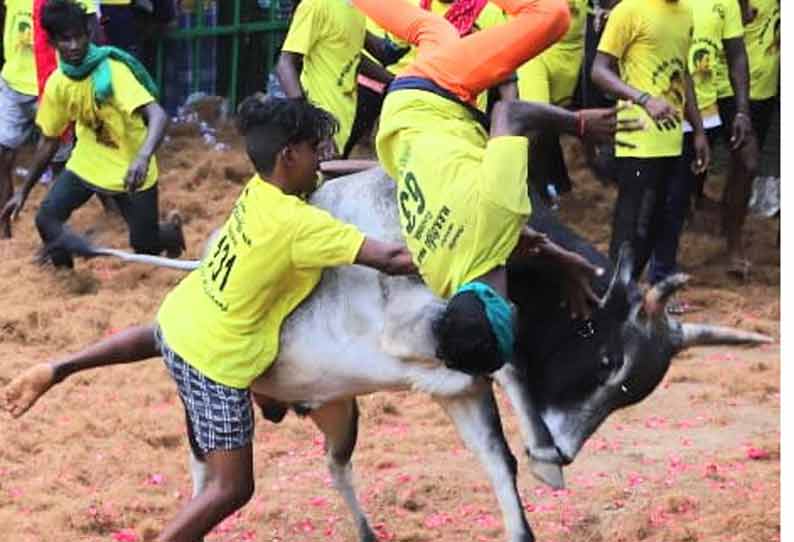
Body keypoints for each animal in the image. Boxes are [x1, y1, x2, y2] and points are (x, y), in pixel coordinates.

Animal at [60, 167, 768, 542]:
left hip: (338, 410)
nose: (567, 448)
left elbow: (501, 467)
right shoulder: (429, 332)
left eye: (632, 392)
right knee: (208, 478)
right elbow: (507, 357)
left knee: (336, 467)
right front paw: (546, 460)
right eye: (605, 363)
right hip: (207, 414)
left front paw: (536, 472)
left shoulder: (462, 390)